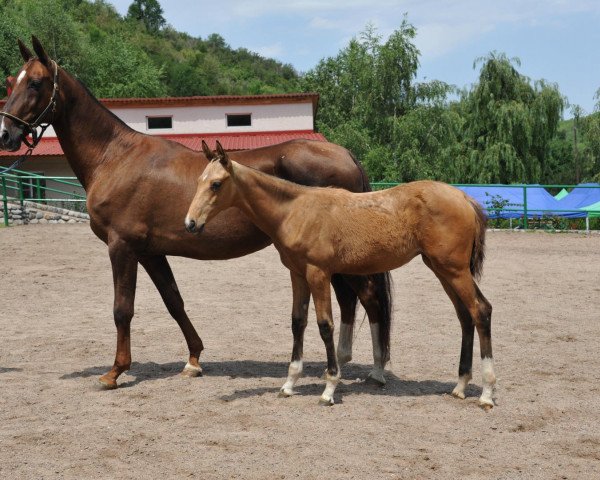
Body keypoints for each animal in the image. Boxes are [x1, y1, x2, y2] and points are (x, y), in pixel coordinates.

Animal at [0, 38, 394, 390]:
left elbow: (122, 309)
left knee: (368, 297)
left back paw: (375, 371)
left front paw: (114, 372)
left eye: (35, 82)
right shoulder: (150, 252)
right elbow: (174, 301)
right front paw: (193, 360)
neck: (115, 157)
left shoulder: (122, 247)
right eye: (10, 81)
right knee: (349, 299)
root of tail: (346, 154)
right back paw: (345, 360)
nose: (6, 134)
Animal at [188, 143, 496, 408]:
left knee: (481, 310)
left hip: (454, 270)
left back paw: (486, 393)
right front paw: (289, 384)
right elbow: (297, 322)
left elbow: (325, 325)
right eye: (199, 181)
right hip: (442, 269)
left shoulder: (319, 273)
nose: (190, 223)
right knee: (464, 315)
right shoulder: (297, 275)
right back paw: (460, 386)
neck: (296, 211)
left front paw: (329, 388)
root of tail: (465, 198)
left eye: (216, 184)